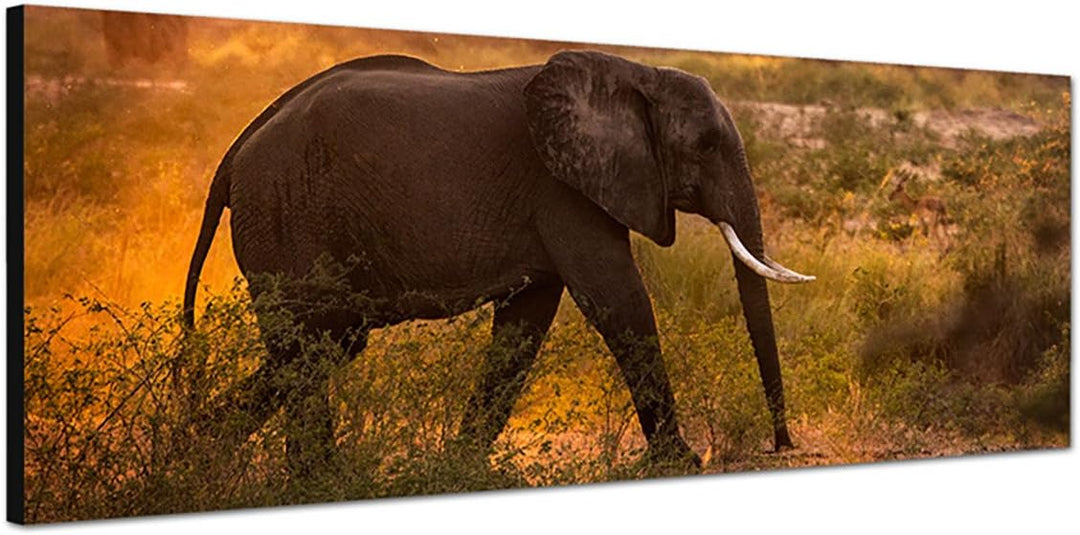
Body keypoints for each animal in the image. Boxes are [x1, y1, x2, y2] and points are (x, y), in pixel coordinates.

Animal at [183, 50, 814, 476]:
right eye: (705, 146)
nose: (782, 444)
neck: (636, 73)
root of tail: (234, 155)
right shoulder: (562, 190)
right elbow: (620, 303)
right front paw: (682, 463)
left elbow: (524, 325)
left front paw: (461, 467)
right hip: (287, 212)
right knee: (311, 340)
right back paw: (306, 476)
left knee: (325, 344)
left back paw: (201, 450)